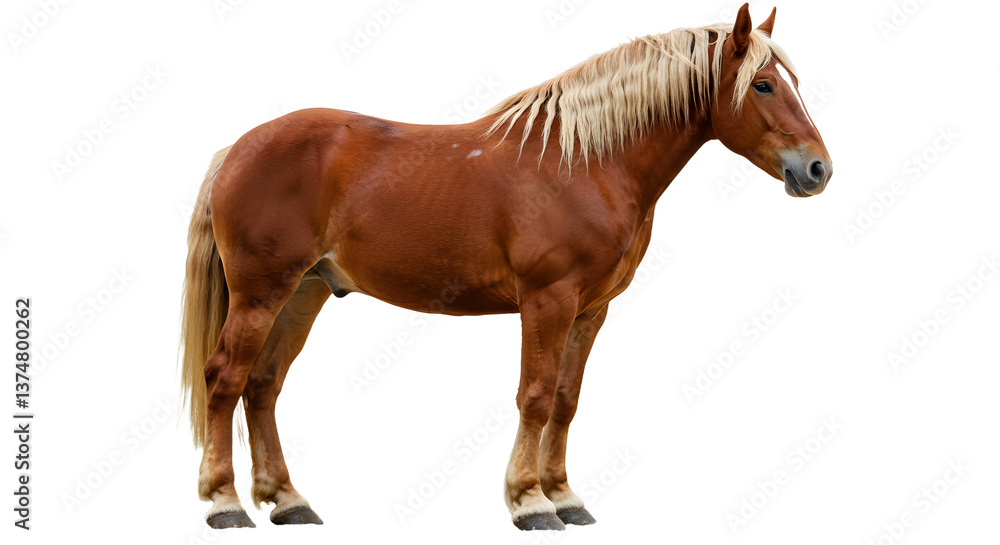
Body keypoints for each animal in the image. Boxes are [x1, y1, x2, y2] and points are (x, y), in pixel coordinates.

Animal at [180, 3, 831, 531]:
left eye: (793, 82)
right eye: (764, 85)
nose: (818, 169)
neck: (588, 162)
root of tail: (237, 149)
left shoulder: (590, 310)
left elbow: (566, 398)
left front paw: (565, 496)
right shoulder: (548, 300)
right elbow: (536, 396)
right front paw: (529, 503)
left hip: (304, 293)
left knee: (263, 385)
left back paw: (288, 501)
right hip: (261, 293)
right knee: (225, 378)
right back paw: (225, 503)